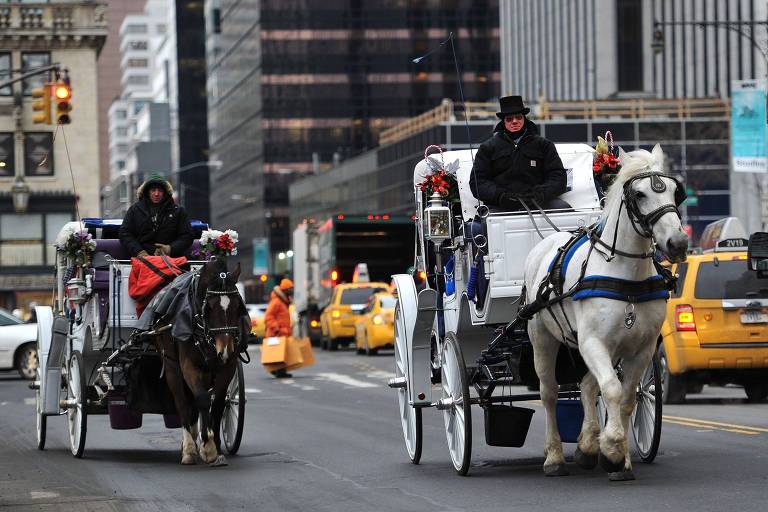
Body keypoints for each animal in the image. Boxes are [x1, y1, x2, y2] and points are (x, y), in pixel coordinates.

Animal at [156, 258, 249, 466]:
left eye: (238, 306)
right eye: (210, 308)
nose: (225, 350)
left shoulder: (227, 368)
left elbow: (219, 403)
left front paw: (215, 446)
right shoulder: (189, 366)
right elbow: (203, 399)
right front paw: (207, 446)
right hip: (172, 366)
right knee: (182, 402)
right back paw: (189, 448)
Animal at [524, 145, 688, 480]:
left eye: (674, 191)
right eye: (639, 194)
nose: (678, 242)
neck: (626, 275)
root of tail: (546, 241)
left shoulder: (641, 349)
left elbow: (626, 397)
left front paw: (618, 458)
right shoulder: (592, 343)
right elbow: (611, 390)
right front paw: (612, 448)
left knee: (588, 386)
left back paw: (587, 445)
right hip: (542, 337)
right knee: (549, 393)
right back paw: (554, 457)